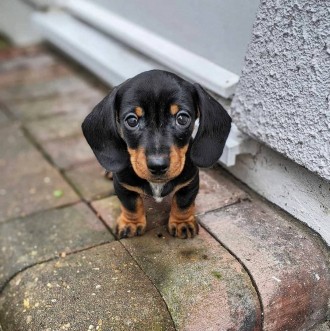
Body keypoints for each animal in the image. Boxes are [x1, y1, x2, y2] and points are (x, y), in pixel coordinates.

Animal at [82, 71, 232, 240]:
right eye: (132, 120)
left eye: (182, 118)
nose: (158, 166)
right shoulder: (122, 185)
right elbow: (131, 204)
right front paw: (131, 223)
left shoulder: (190, 182)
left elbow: (183, 202)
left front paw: (182, 223)